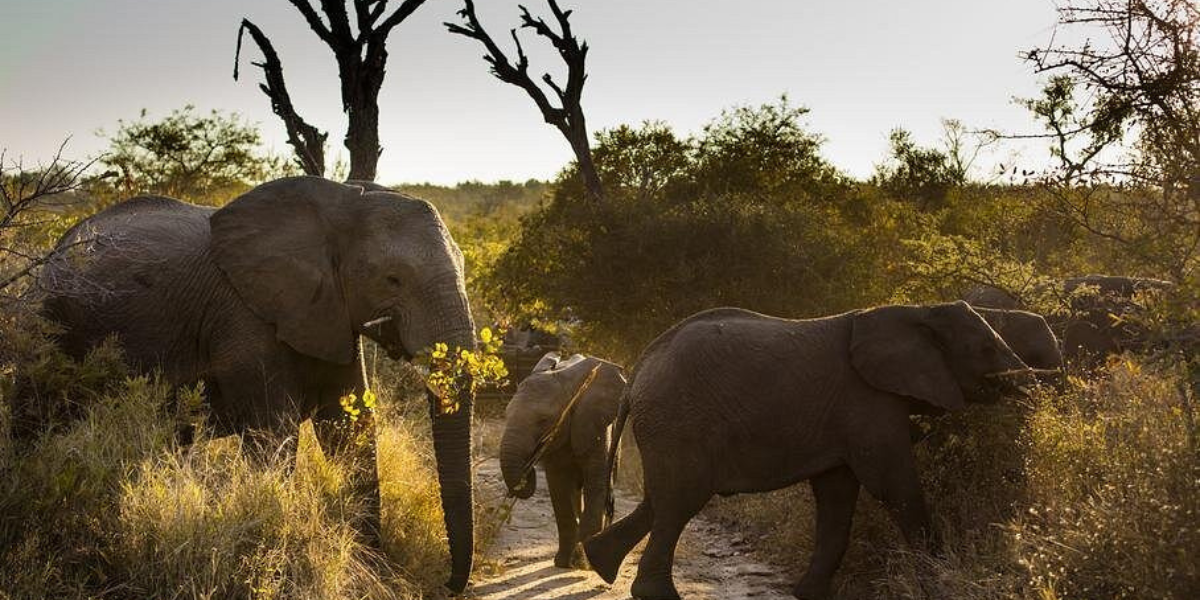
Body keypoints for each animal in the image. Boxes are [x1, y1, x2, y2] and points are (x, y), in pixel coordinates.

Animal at [39, 177, 476, 593]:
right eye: (392, 279)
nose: (449, 583)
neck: (342, 201)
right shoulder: (244, 316)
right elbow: (274, 434)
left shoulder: (331, 314)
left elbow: (349, 429)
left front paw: (375, 571)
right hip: (52, 320)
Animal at [500, 352, 626, 568]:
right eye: (506, 415)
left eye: (543, 421)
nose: (529, 465)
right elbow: (559, 488)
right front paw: (563, 563)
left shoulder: (595, 424)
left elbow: (596, 483)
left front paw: (583, 563)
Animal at [582, 302, 1039, 600]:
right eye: (986, 350)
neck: (919, 309)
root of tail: (637, 371)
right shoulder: (867, 402)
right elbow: (891, 483)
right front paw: (938, 582)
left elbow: (837, 496)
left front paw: (809, 594)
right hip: (679, 419)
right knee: (680, 501)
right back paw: (654, 594)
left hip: (668, 428)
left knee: (661, 500)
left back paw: (599, 563)